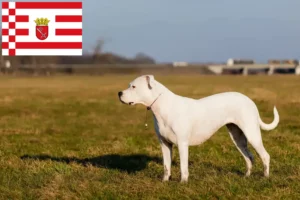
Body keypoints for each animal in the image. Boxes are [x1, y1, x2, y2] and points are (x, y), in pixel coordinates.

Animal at [118, 75, 278, 183]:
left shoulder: (182, 144)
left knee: (265, 155)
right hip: (237, 138)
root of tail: (249, 100)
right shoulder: (165, 144)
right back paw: (247, 176)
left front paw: (183, 183)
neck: (162, 107)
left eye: (133, 87)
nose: (119, 93)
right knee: (249, 157)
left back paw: (265, 177)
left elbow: (183, 166)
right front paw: (165, 181)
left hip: (252, 134)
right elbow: (166, 165)